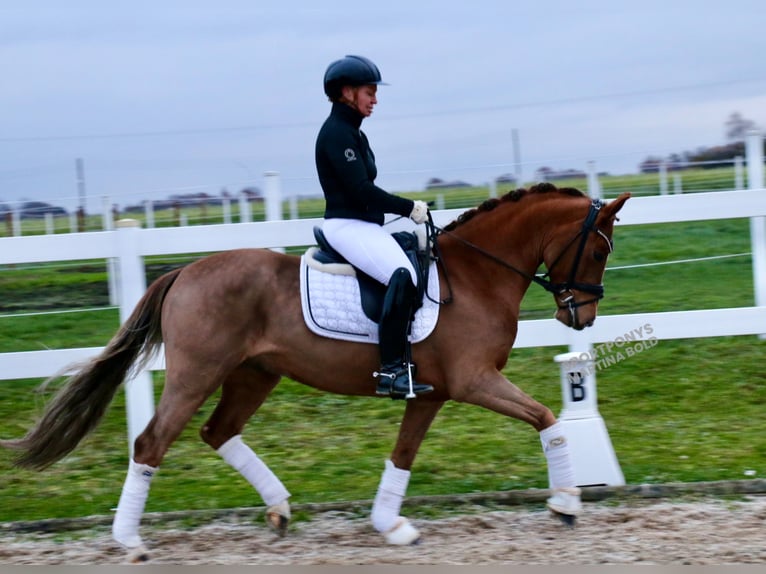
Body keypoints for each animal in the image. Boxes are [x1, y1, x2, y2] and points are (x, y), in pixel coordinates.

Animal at [1, 183, 632, 564]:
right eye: (600, 251)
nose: (581, 316)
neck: (476, 275)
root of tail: (183, 271)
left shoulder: (431, 393)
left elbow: (403, 454)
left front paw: (390, 524)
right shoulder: (474, 381)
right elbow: (547, 417)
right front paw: (567, 504)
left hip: (253, 374)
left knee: (217, 432)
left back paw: (279, 508)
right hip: (196, 374)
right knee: (153, 442)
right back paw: (131, 541)